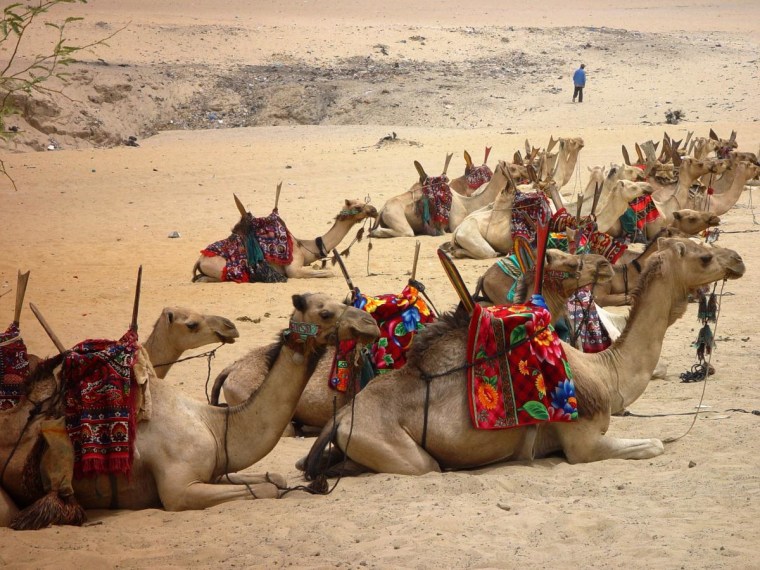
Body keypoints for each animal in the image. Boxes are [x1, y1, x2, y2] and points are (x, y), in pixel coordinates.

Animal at [193, 197, 378, 280]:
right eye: (358, 207)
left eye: (363, 201)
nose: (374, 210)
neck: (304, 247)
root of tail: (200, 260)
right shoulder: (293, 269)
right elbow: (329, 272)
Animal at [300, 235, 744, 474]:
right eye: (704, 256)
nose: (738, 259)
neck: (606, 373)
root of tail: (339, 419)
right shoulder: (582, 443)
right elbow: (654, 445)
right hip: (393, 447)